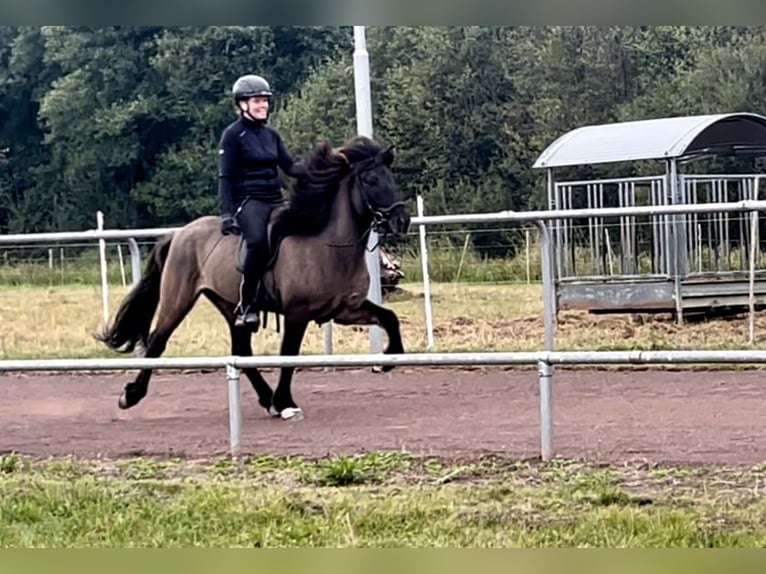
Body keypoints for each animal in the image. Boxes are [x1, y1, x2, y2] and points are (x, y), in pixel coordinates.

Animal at [96, 137, 414, 420]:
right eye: (370, 180)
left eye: (391, 177)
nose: (402, 220)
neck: (328, 244)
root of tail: (179, 234)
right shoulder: (298, 314)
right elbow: (289, 356)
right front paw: (286, 402)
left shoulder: (345, 309)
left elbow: (389, 318)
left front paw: (388, 359)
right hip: (178, 299)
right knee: (157, 341)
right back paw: (131, 395)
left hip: (231, 306)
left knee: (241, 351)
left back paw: (266, 398)